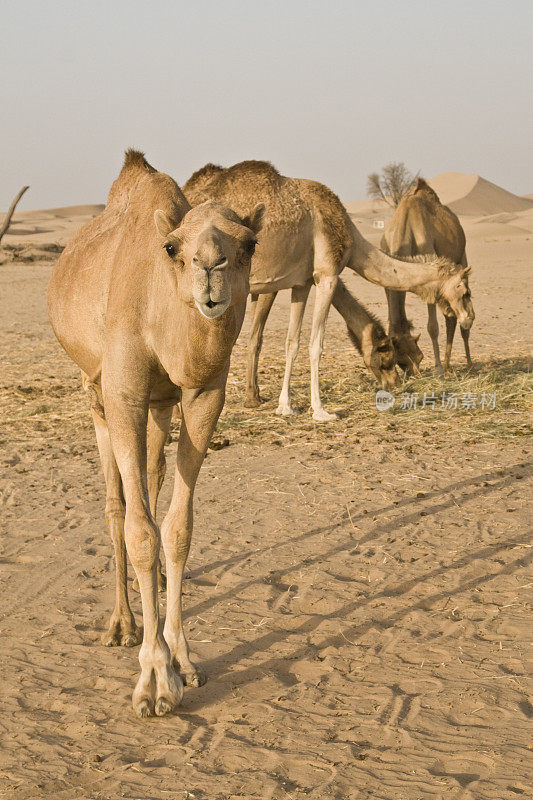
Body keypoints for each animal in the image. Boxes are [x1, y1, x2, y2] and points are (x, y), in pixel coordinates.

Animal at [46, 152, 262, 720]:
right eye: (172, 247)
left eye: (249, 242)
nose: (210, 266)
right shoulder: (123, 389)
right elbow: (140, 531)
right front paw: (154, 680)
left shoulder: (204, 393)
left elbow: (177, 527)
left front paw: (182, 658)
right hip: (94, 392)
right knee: (118, 502)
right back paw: (122, 623)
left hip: (160, 406)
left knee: (150, 473)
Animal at [380, 178, 472, 376]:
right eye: (400, 361)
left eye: (420, 357)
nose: (415, 374)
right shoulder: (386, 279)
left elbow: (432, 327)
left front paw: (437, 368)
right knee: (450, 315)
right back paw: (448, 365)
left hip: (461, 257)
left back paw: (467, 364)